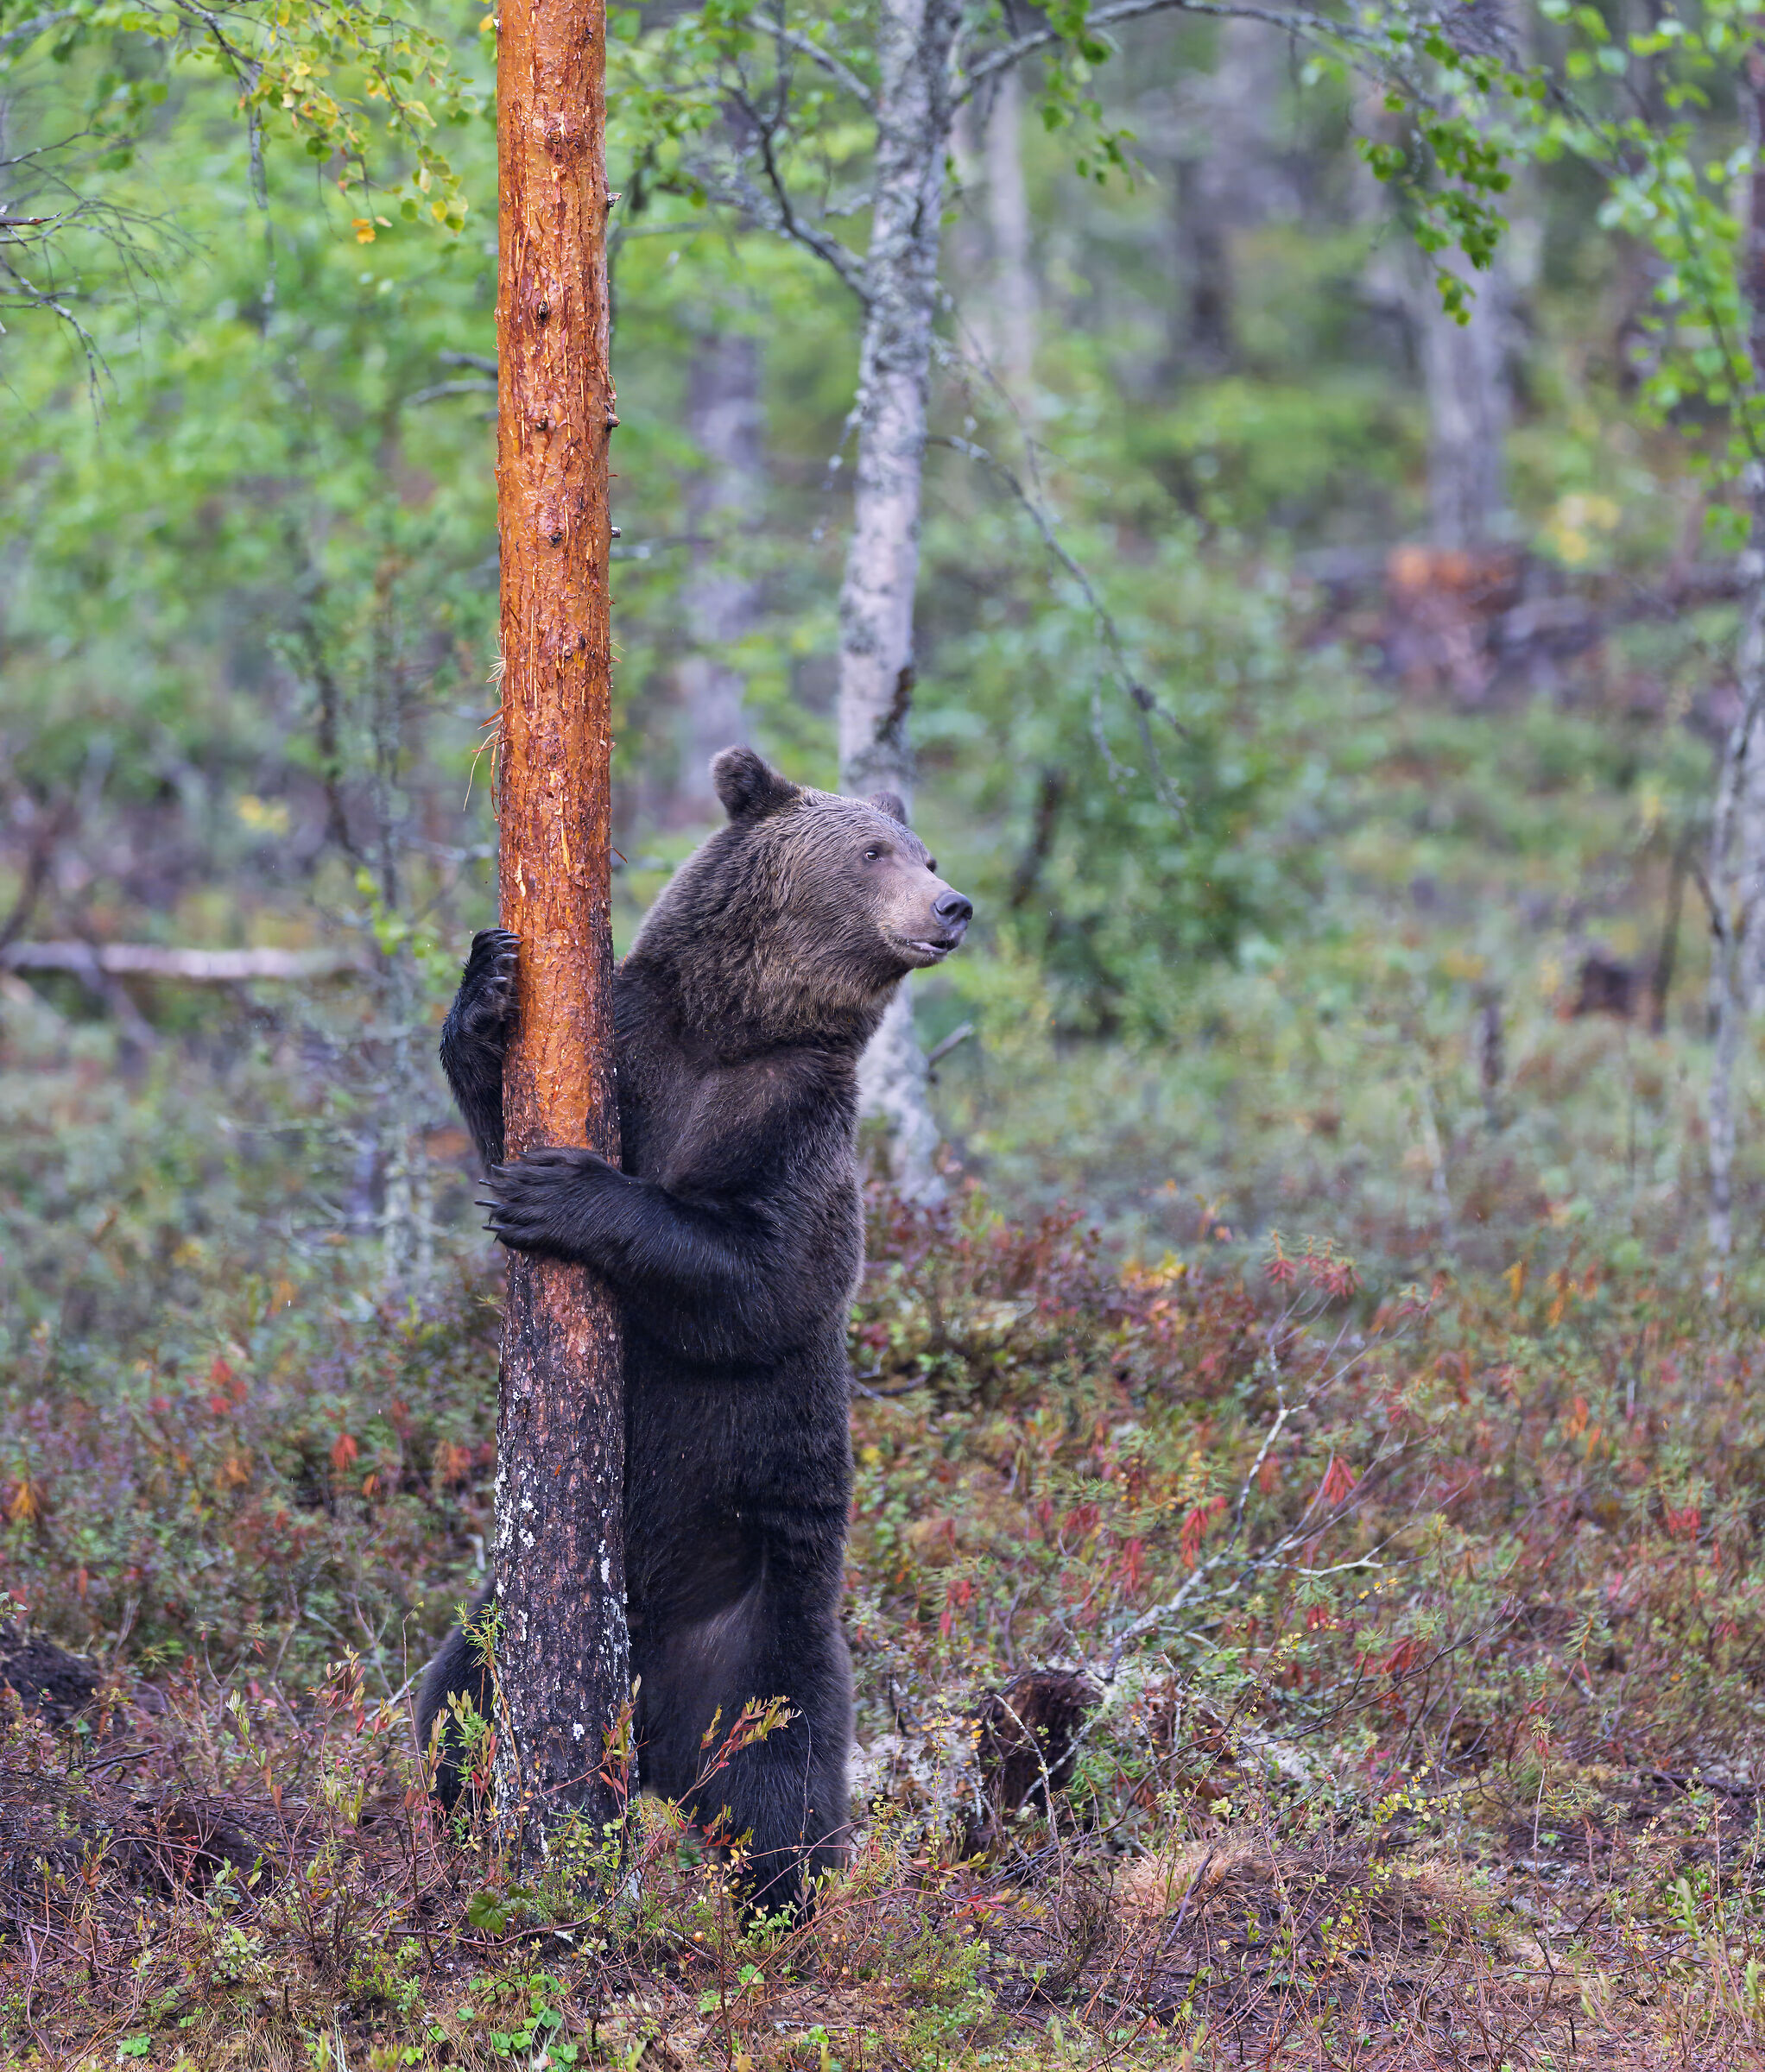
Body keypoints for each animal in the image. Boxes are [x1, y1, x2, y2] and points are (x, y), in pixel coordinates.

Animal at [416, 746, 972, 1911]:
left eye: (923, 853)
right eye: (878, 851)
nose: (953, 906)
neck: (733, 1029)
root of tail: (653, 1739)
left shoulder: (796, 1122)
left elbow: (762, 1275)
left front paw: (568, 1193)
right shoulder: (632, 1046)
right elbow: (497, 1114)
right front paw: (488, 983)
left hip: (762, 1643)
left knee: (782, 1797)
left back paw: (784, 1906)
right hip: (501, 1632)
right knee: (454, 1712)